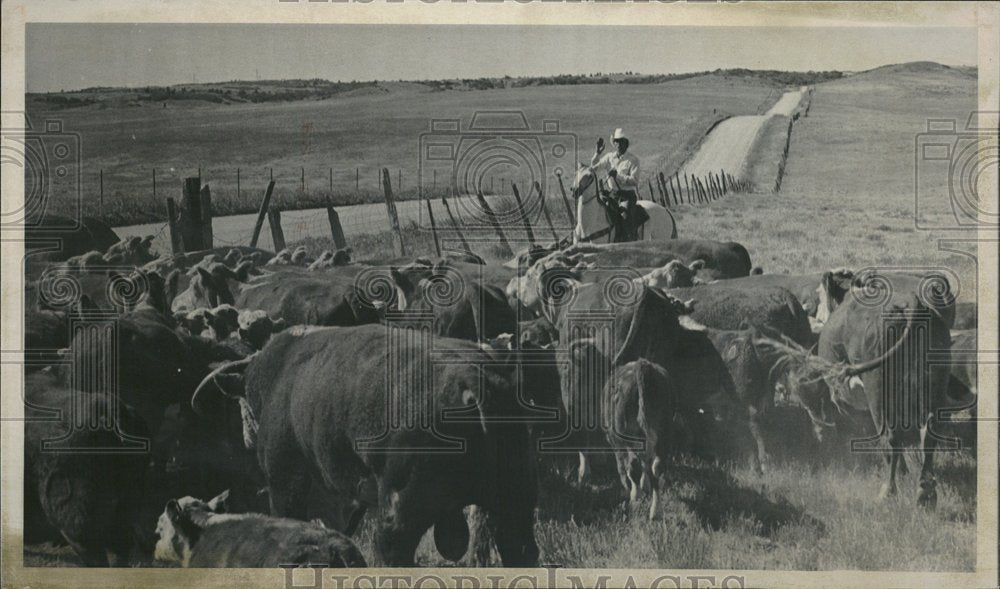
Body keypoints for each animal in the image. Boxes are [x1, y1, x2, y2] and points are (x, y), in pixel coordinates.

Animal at [192, 324, 544, 568]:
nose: (248, 437)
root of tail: (474, 382)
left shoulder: (285, 486)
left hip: (400, 513)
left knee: (395, 552)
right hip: (515, 501)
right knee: (520, 550)